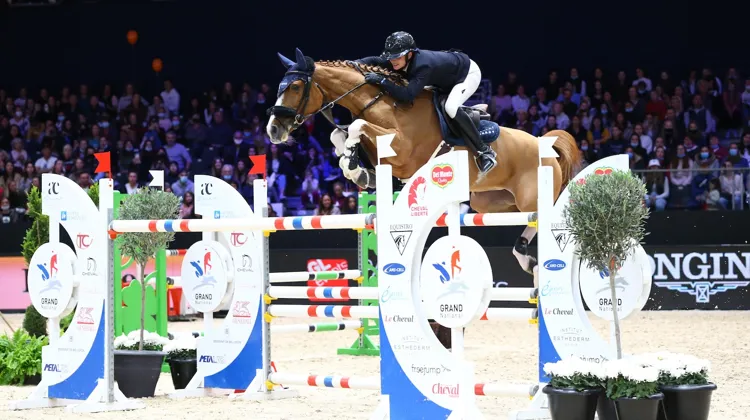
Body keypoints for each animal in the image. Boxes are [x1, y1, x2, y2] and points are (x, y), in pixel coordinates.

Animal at [266, 48, 579, 277]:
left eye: (295, 87)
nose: (273, 130)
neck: (381, 102)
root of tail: (545, 145)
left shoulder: (403, 151)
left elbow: (355, 125)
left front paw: (353, 165)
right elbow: (339, 134)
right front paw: (355, 168)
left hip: (531, 198)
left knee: (546, 219)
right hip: (490, 203)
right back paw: (525, 256)